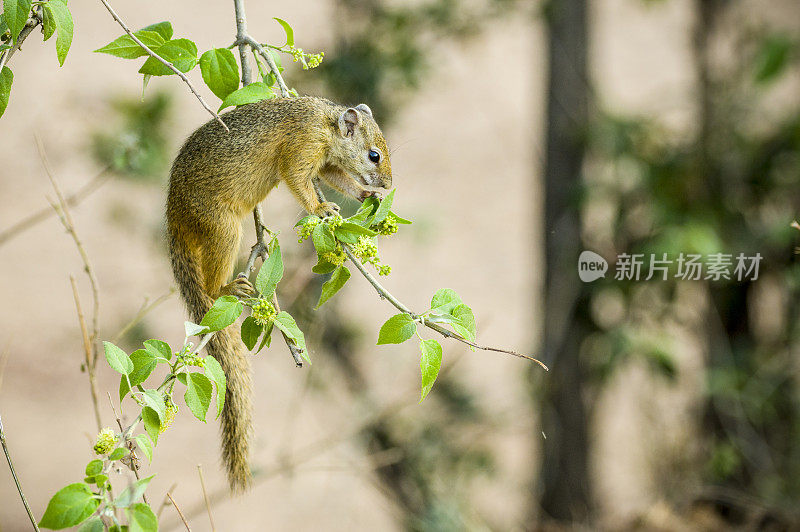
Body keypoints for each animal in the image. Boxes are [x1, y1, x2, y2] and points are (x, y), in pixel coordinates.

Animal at [165, 94, 394, 490]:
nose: (389, 184)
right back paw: (231, 286)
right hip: (224, 228)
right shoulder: (300, 151)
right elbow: (300, 183)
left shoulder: (326, 163)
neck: (324, 121)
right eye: (374, 155)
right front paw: (323, 208)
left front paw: (364, 193)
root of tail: (174, 220)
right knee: (210, 286)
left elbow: (335, 178)